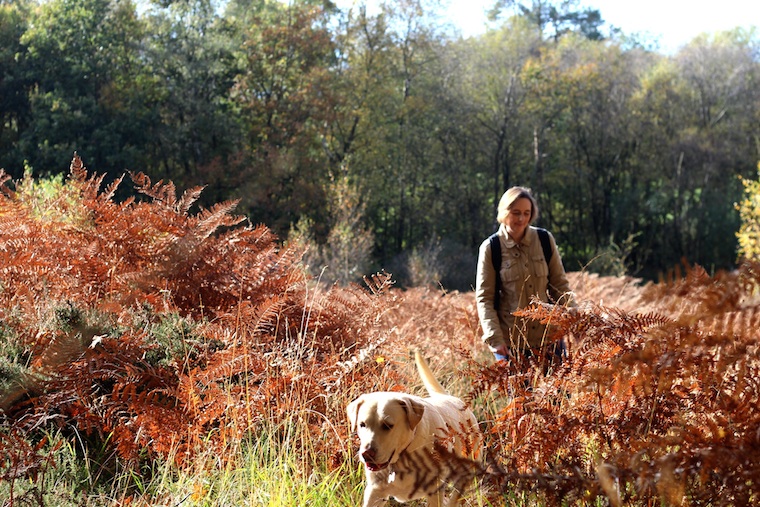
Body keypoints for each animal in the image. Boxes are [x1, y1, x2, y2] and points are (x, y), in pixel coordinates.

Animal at [346, 352, 478, 506]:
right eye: (362, 424)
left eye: (388, 425)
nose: (367, 454)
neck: (403, 456)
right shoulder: (374, 492)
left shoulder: (434, 492)